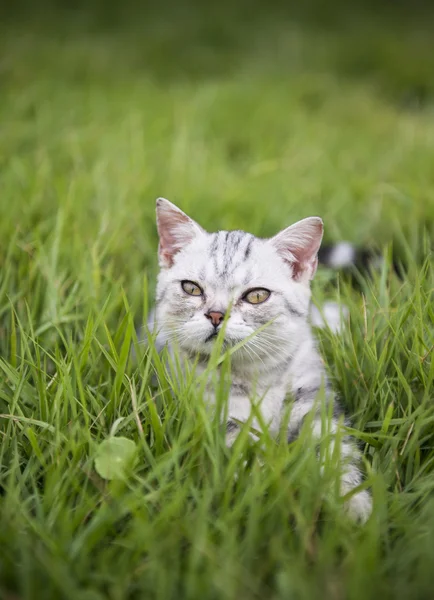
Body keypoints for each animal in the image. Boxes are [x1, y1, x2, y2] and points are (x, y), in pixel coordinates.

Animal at [151, 199, 372, 524]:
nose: (216, 315)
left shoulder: (316, 405)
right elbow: (257, 469)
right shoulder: (222, 420)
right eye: (191, 288)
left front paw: (353, 505)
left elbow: (339, 455)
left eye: (256, 296)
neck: (258, 376)